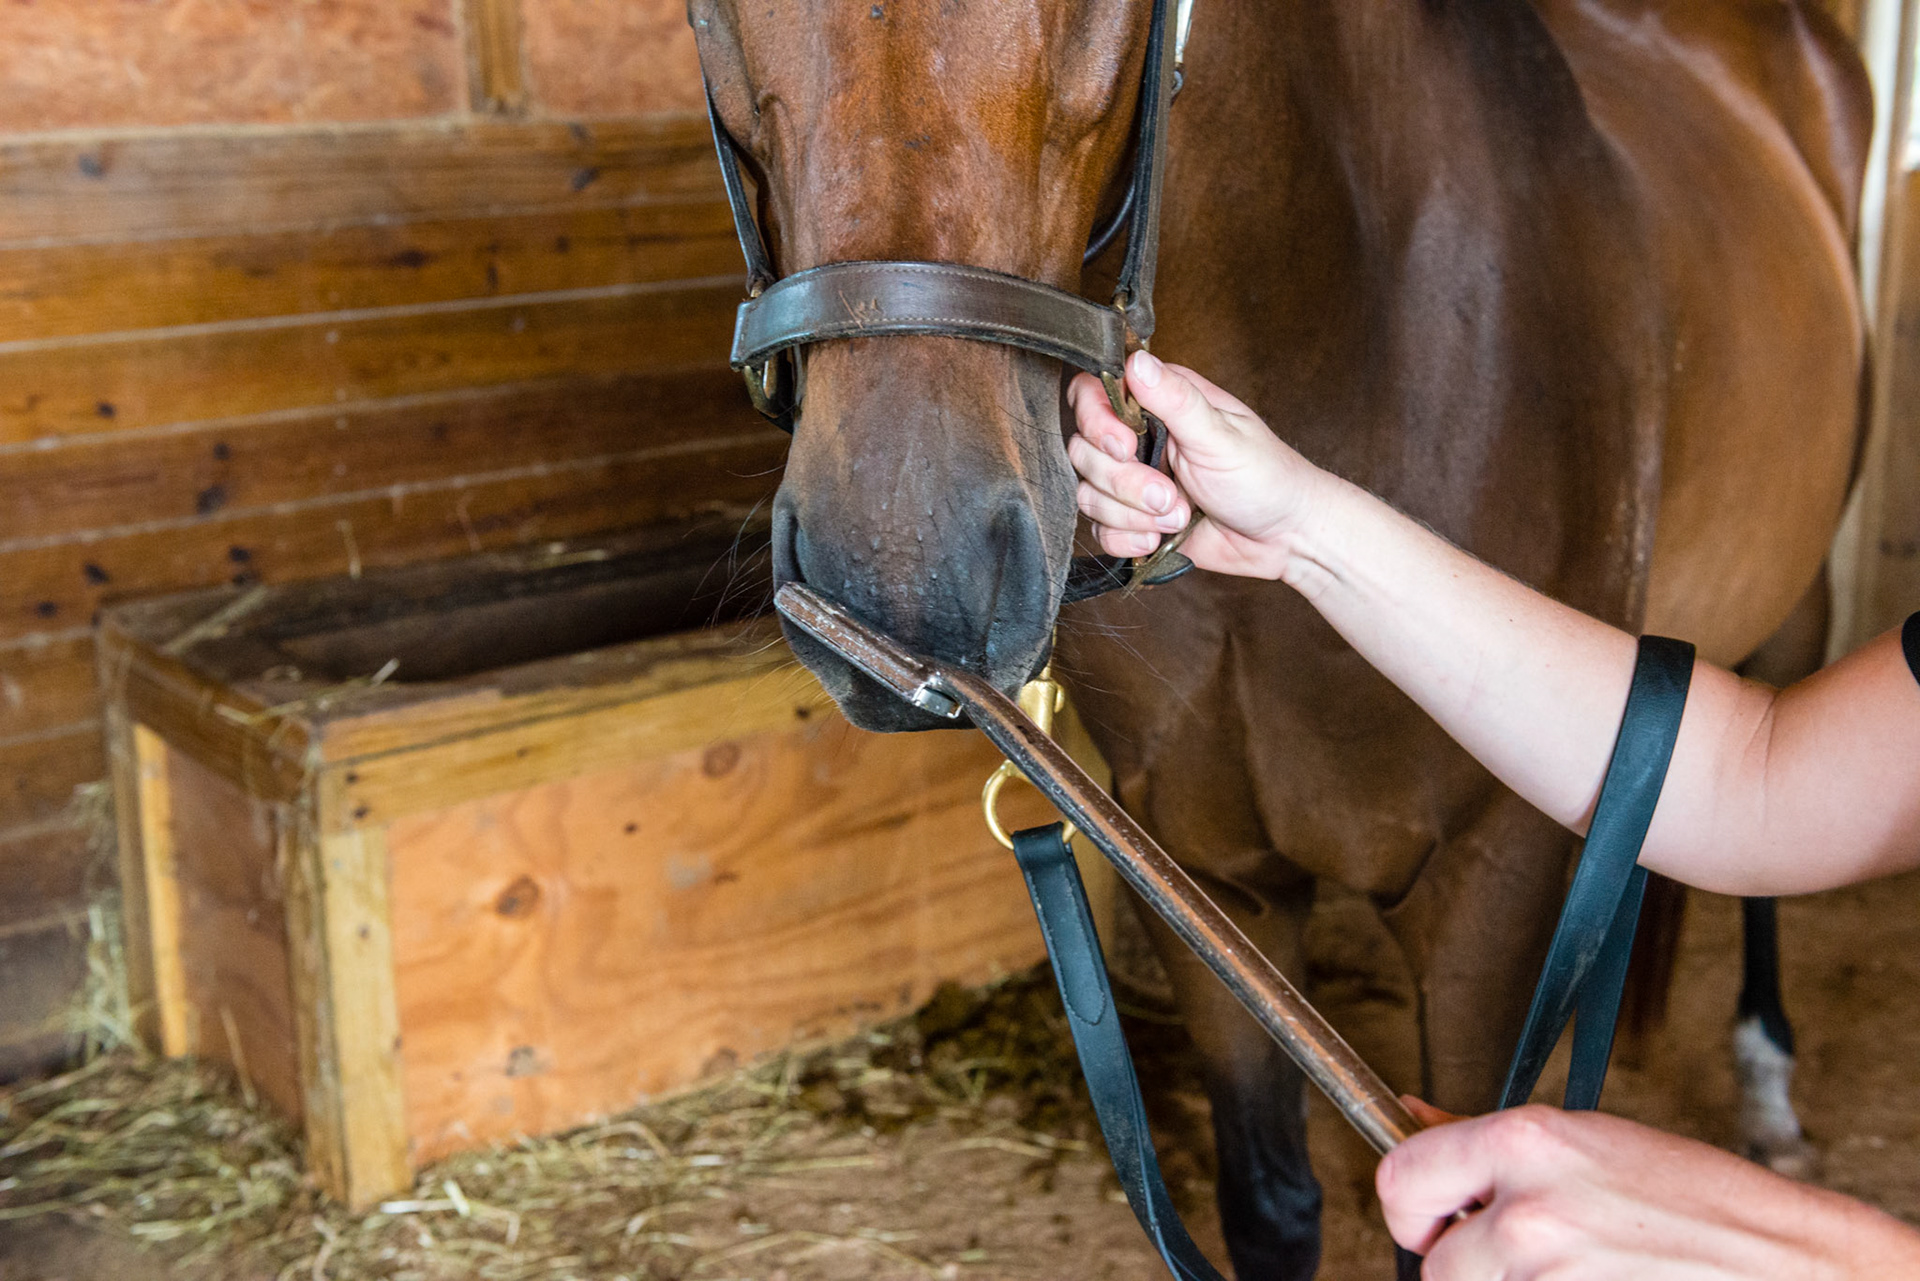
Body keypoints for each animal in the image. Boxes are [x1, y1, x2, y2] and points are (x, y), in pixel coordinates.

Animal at [689, 0, 1870, 1274]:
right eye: (706, 16)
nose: (900, 583)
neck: (1350, 319)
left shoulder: (1491, 892)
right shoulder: (1211, 878)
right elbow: (1271, 1201)